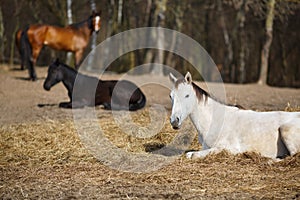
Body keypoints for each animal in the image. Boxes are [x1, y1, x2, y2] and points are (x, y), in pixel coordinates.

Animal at [169, 72, 300, 159]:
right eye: (171, 96)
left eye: (187, 95)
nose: (174, 121)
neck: (215, 121)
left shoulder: (227, 148)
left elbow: (193, 155)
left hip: (286, 129)